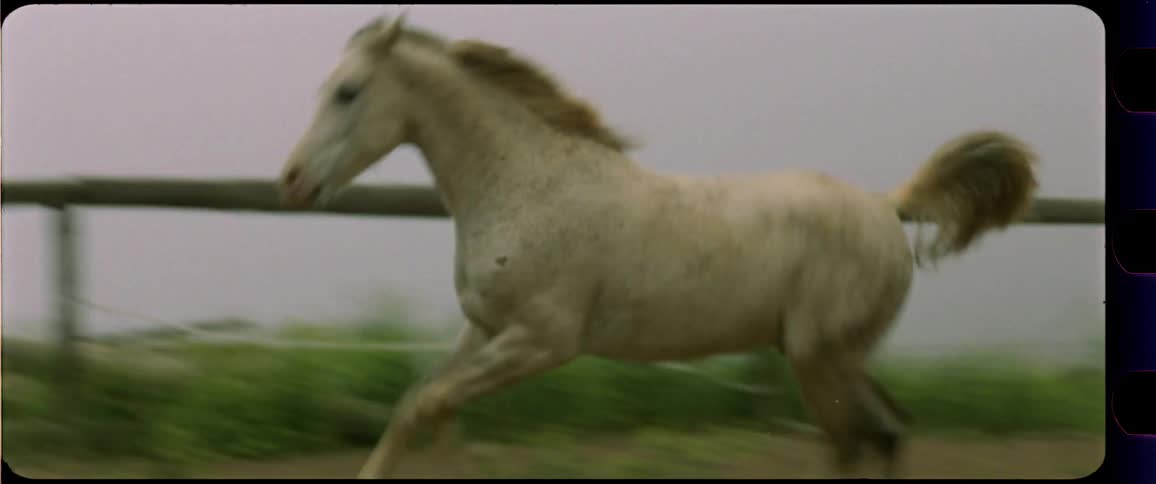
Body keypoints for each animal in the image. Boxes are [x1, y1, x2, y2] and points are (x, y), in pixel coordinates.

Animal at [276, 15, 1038, 479]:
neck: (524, 182)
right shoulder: (485, 330)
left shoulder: (542, 341)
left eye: (347, 92)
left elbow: (429, 404)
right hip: (832, 356)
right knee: (881, 433)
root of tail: (888, 205)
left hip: (820, 354)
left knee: (863, 439)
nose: (291, 180)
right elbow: (420, 406)